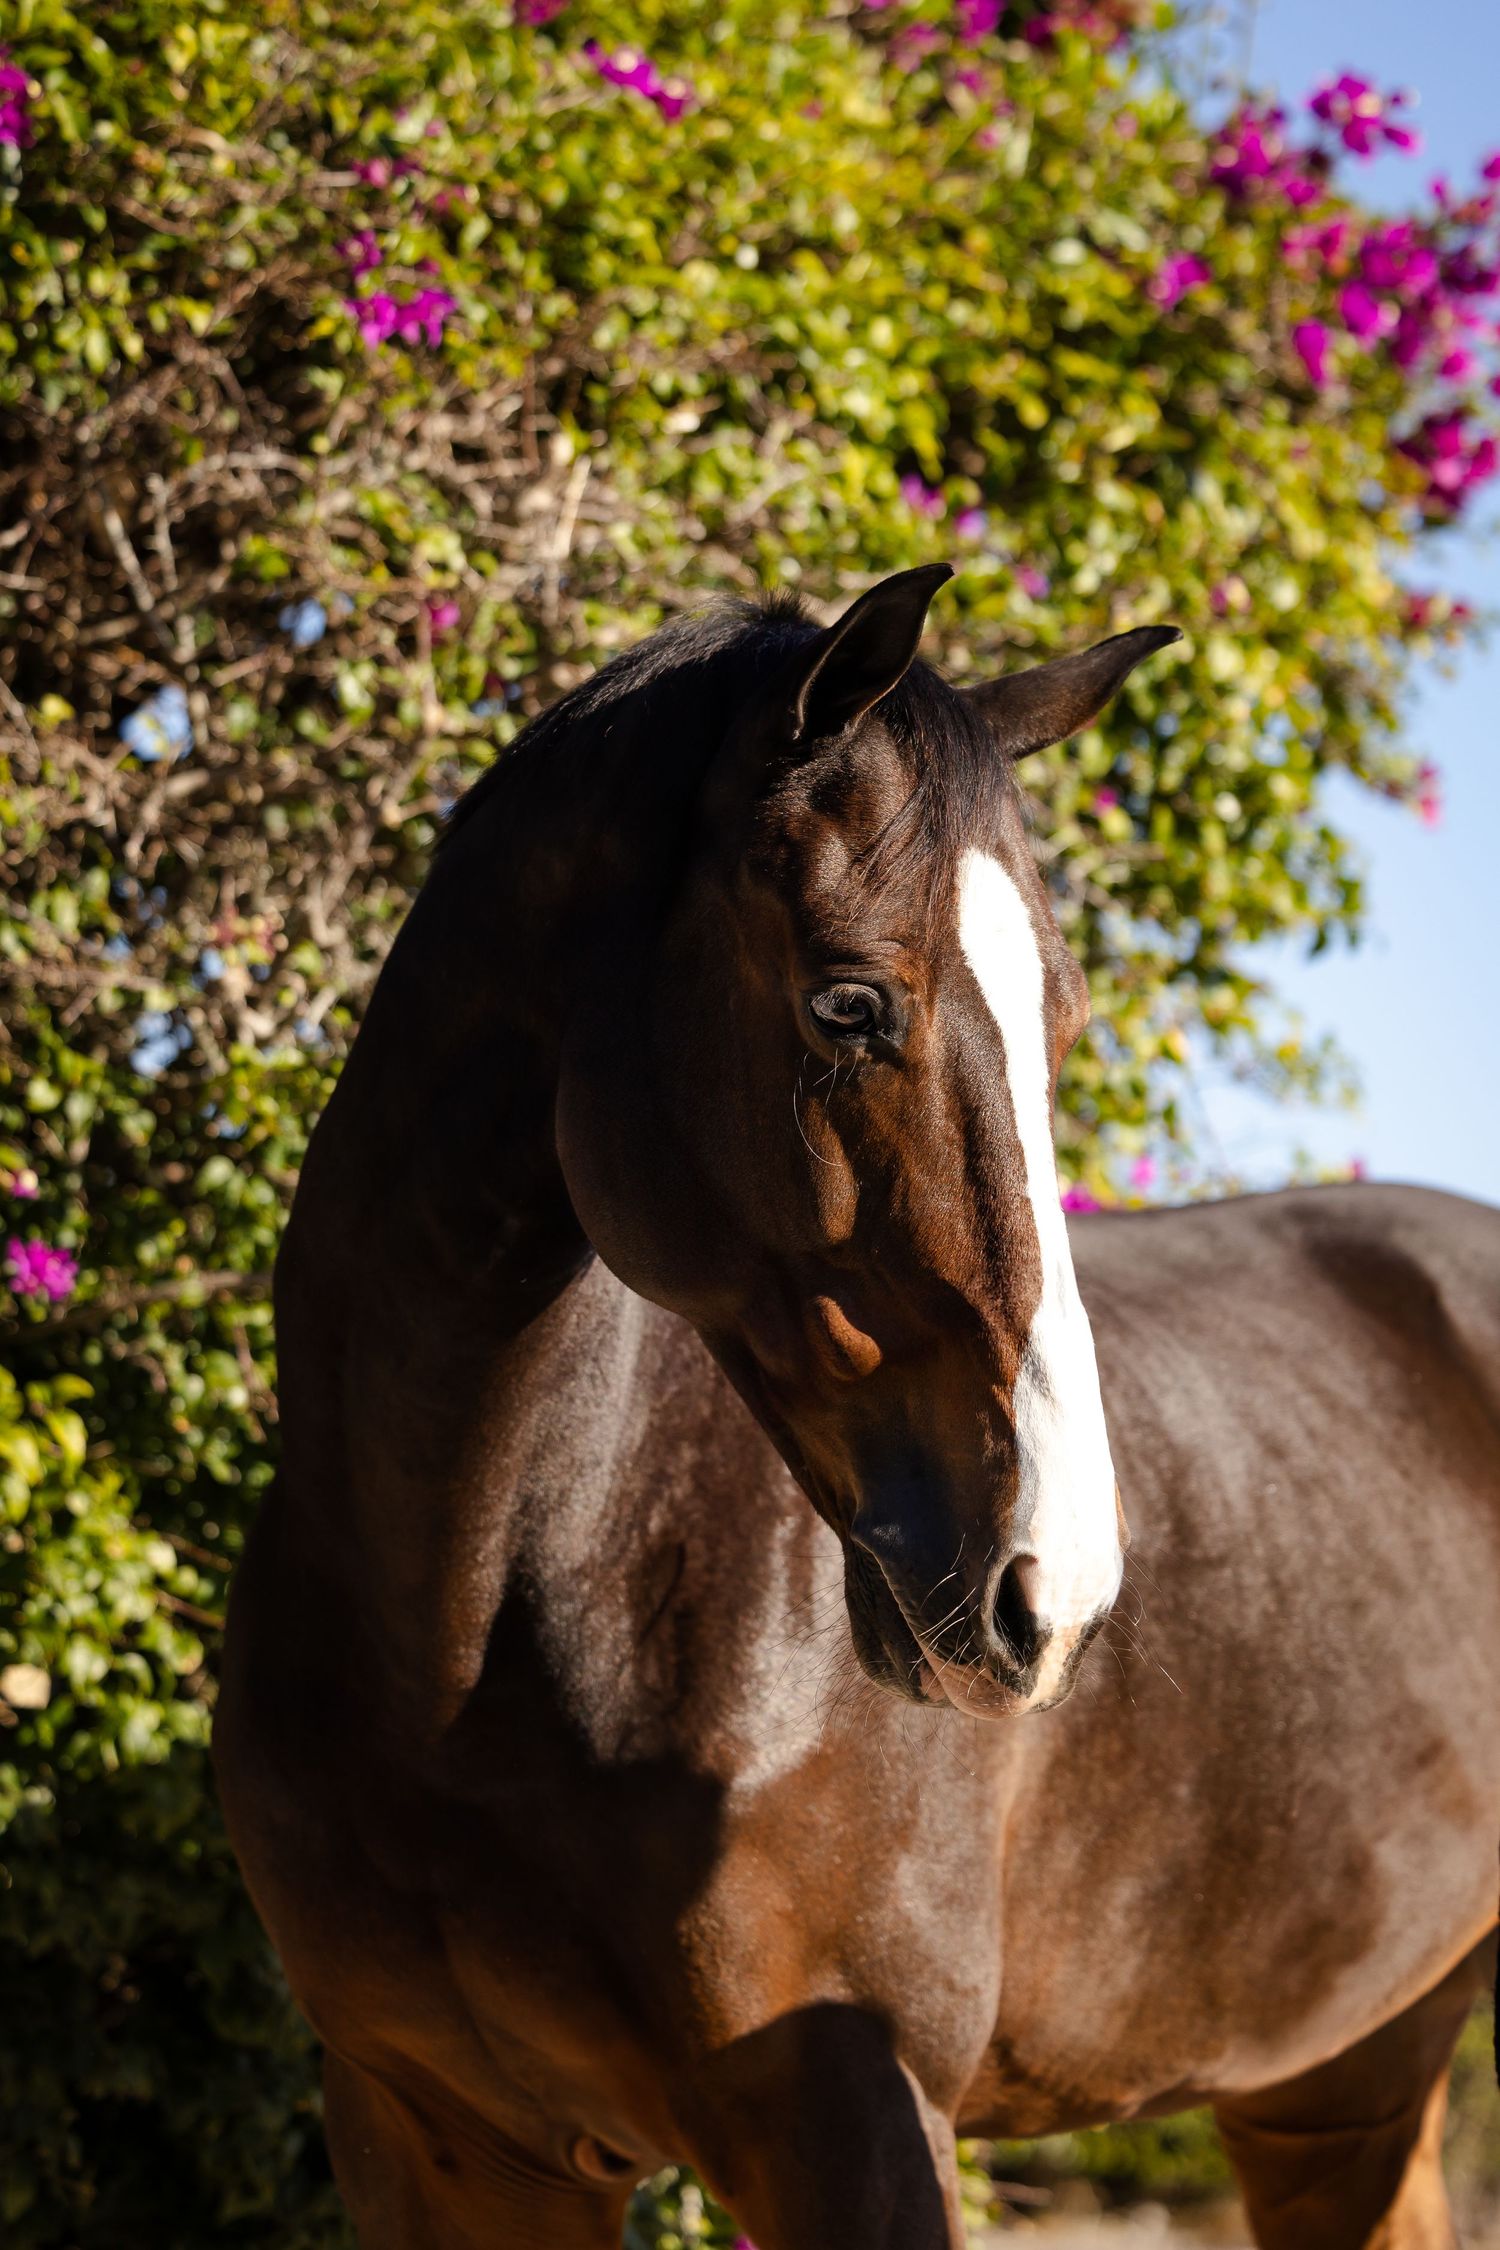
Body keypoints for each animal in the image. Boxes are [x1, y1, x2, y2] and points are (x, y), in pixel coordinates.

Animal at [215, 563, 1500, 2250]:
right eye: (847, 1004)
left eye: (1061, 1021)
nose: (1058, 1591)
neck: (468, 1628)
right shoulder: (437, 2140)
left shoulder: (859, 2119)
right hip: (1343, 2079)